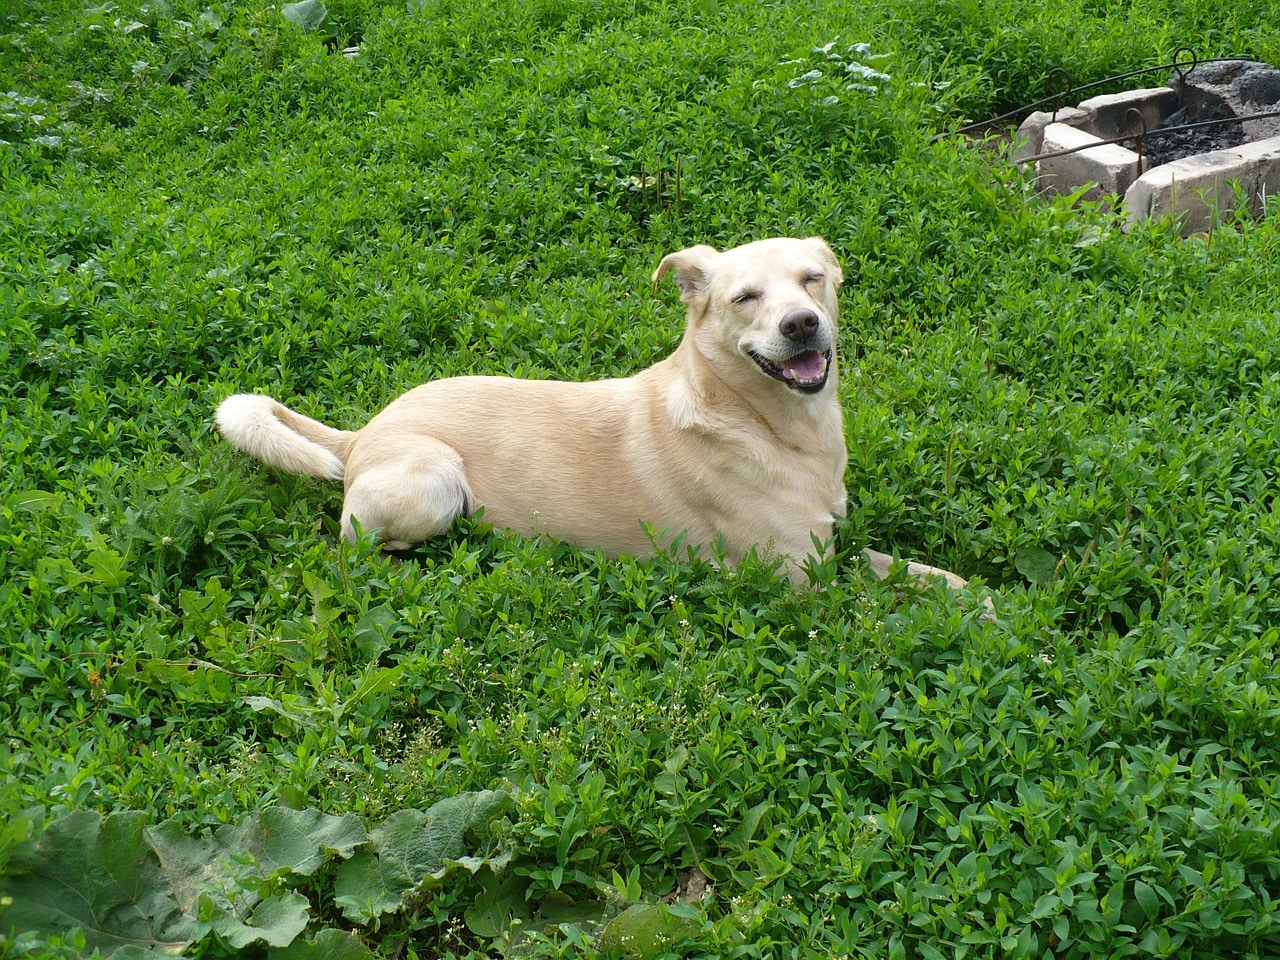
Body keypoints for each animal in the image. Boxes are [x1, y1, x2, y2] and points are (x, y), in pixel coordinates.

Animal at [215, 236, 967, 591]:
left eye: (813, 280)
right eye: (746, 298)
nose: (803, 324)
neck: (768, 425)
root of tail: (364, 431)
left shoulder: (830, 545)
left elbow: (919, 574)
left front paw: (978, 596)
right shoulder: (795, 579)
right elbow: (891, 602)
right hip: (433, 484)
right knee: (357, 546)